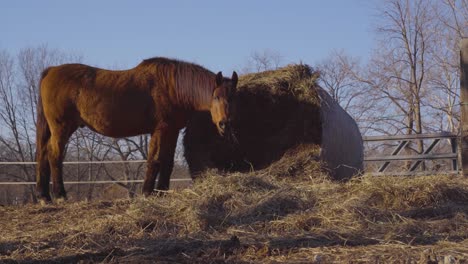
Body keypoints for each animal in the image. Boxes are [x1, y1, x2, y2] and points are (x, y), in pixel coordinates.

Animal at [35, 57, 238, 202]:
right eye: (216, 97)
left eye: (234, 97)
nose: (225, 124)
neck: (172, 87)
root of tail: (50, 71)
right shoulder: (160, 129)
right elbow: (155, 160)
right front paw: (147, 192)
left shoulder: (172, 131)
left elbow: (167, 162)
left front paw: (161, 192)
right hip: (61, 127)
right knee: (54, 154)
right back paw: (60, 195)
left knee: (43, 153)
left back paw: (44, 196)